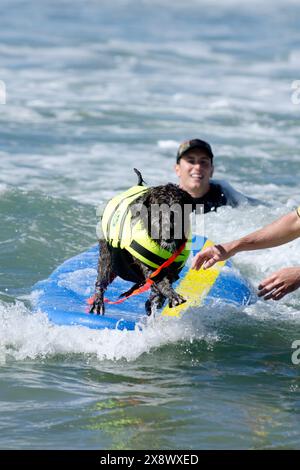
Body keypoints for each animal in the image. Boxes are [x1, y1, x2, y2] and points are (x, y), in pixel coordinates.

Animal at [89, 169, 192, 316]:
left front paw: (155, 301)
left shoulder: (171, 271)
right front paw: (173, 296)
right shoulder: (150, 269)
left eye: (178, 208)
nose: (170, 231)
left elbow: (159, 290)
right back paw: (98, 301)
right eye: (158, 209)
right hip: (106, 258)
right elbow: (161, 283)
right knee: (101, 279)